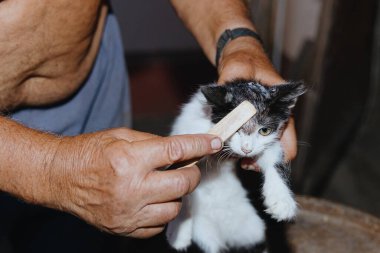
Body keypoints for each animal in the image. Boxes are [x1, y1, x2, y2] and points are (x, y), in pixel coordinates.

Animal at [166, 79, 306, 253]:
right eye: (235, 129)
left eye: (264, 130)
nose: (247, 149)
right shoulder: (188, 129)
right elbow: (182, 177)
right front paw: (178, 229)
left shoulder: (267, 144)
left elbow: (272, 157)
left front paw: (281, 200)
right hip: (205, 231)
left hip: (252, 229)